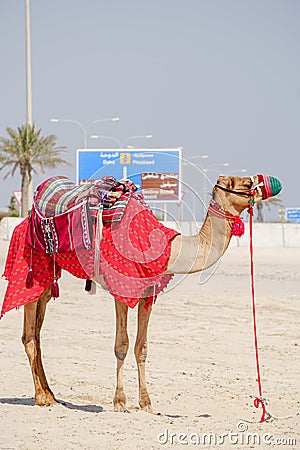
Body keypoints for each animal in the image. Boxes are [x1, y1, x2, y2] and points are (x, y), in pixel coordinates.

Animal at [2, 172, 282, 412]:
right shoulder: (122, 288)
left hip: (49, 276)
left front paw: (146, 403)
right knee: (29, 335)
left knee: (37, 332)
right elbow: (122, 345)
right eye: (246, 184)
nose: (271, 183)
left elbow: (142, 347)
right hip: (31, 267)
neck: (168, 248)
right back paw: (41, 398)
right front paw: (120, 402)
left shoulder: (148, 292)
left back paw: (51, 395)